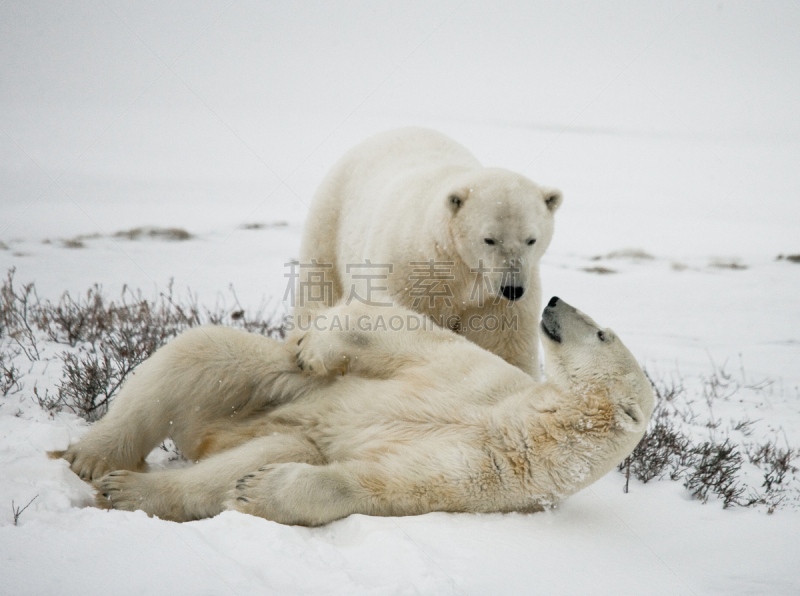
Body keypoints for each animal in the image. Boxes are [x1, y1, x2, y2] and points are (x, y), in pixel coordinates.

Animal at [54, 298, 656, 528]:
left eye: (602, 333)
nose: (553, 301)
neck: (529, 425)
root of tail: (212, 434)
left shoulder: (491, 473)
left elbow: (381, 485)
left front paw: (263, 489)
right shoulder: (480, 382)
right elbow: (409, 337)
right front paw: (316, 343)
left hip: (257, 427)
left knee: (273, 448)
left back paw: (129, 489)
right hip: (272, 389)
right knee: (202, 353)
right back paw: (91, 456)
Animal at [294, 126, 564, 380]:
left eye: (531, 239)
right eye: (489, 239)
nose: (512, 289)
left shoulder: (494, 299)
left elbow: (503, 342)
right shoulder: (407, 274)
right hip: (330, 221)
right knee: (319, 285)